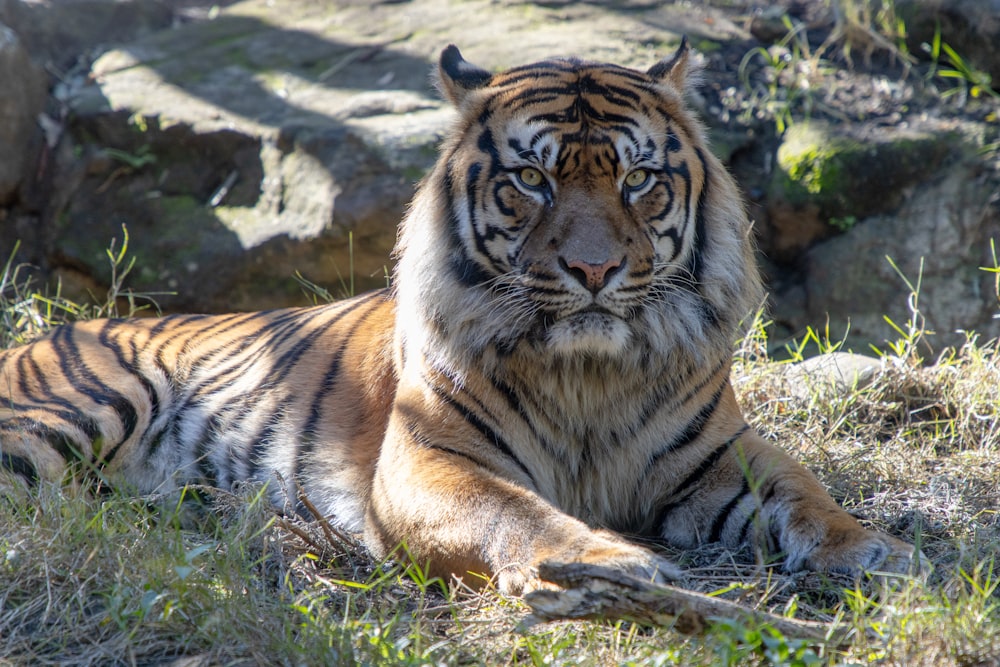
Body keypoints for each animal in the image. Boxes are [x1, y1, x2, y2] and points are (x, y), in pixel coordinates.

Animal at [0, 41, 916, 596]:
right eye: (531, 181)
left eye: (637, 180)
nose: (594, 270)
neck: (589, 373)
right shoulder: (429, 459)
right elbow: (517, 514)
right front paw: (607, 564)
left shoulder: (719, 451)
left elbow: (804, 489)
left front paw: (873, 548)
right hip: (73, 407)